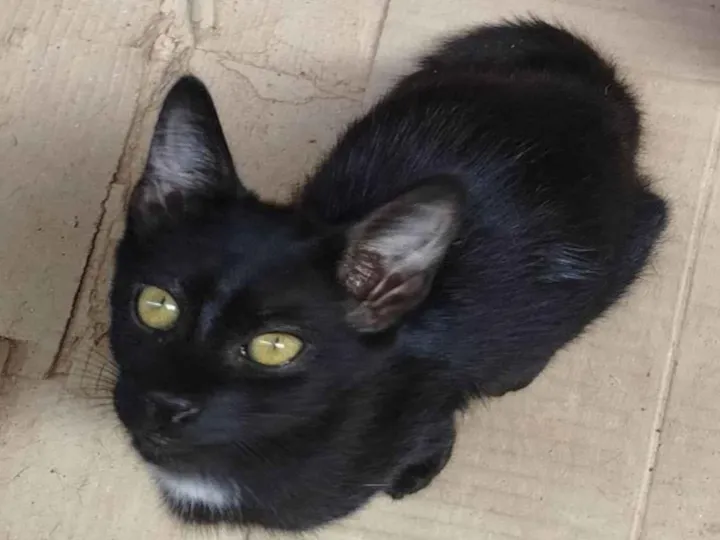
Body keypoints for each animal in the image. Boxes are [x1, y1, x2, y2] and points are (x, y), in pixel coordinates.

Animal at [111, 19, 667, 532]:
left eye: (275, 347)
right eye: (156, 306)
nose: (168, 404)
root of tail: (589, 99)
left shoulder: (430, 403)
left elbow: (435, 428)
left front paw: (419, 467)